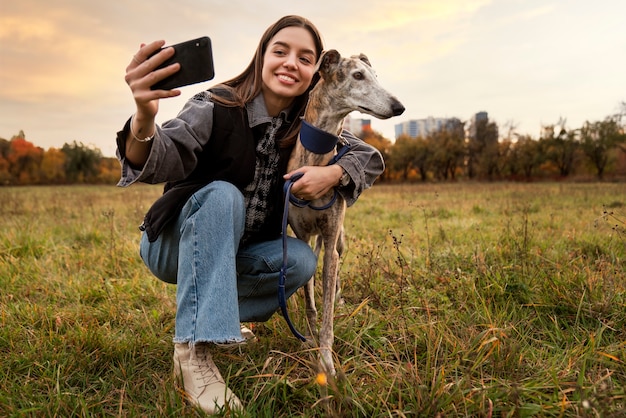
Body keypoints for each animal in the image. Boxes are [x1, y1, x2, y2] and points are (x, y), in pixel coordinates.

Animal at [284, 49, 402, 376]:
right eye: (357, 76)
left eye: (375, 76)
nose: (399, 107)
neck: (315, 159)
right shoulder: (302, 236)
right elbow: (310, 300)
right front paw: (309, 340)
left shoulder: (330, 241)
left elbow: (326, 310)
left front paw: (326, 362)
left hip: (338, 239)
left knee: (335, 273)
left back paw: (339, 301)